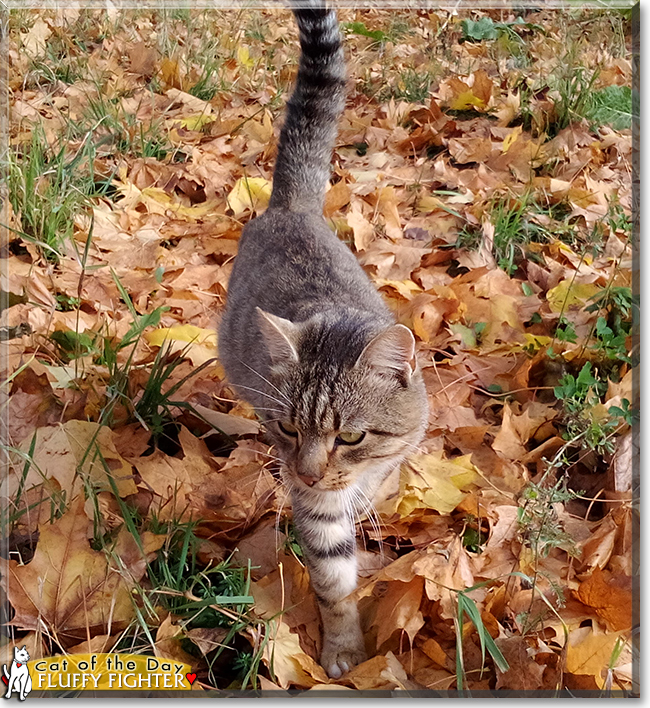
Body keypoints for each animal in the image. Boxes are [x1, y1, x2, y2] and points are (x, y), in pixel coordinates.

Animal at [219, 0, 426, 676]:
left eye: (352, 437)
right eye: (289, 428)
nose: (307, 474)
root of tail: (293, 206)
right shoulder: (318, 510)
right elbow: (335, 581)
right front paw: (344, 650)